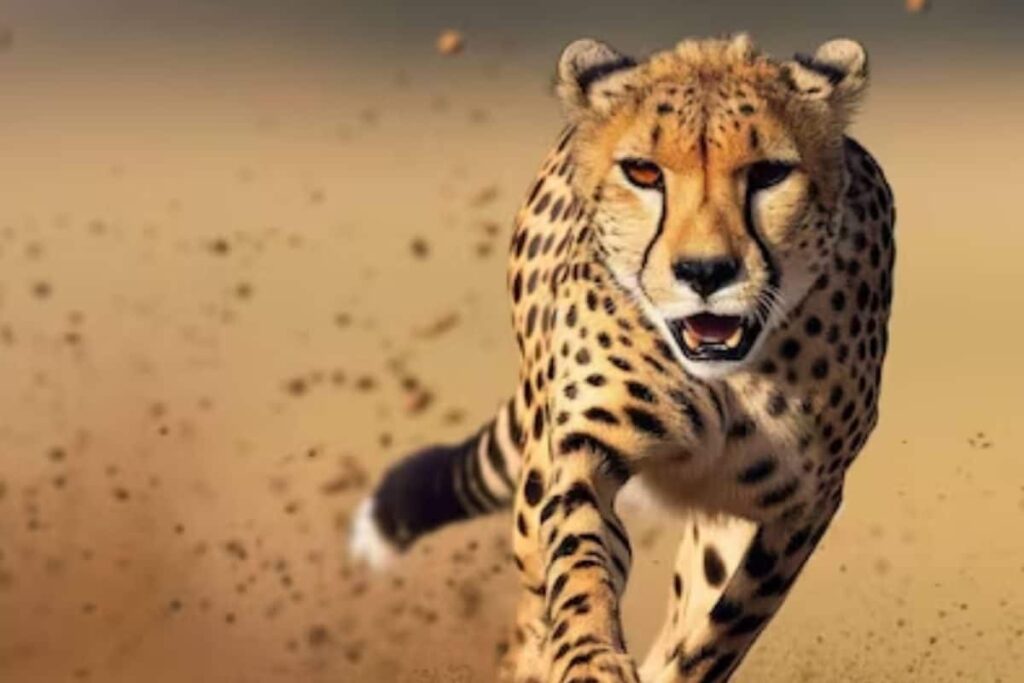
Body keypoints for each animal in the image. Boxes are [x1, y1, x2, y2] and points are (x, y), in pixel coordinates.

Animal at [350, 33, 895, 683]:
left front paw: (676, 664)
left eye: (769, 173)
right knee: (532, 597)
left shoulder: (798, 505)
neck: (723, 381)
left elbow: (723, 628)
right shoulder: (583, 449)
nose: (705, 272)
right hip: (532, 489)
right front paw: (589, 658)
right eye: (643, 172)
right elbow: (579, 557)